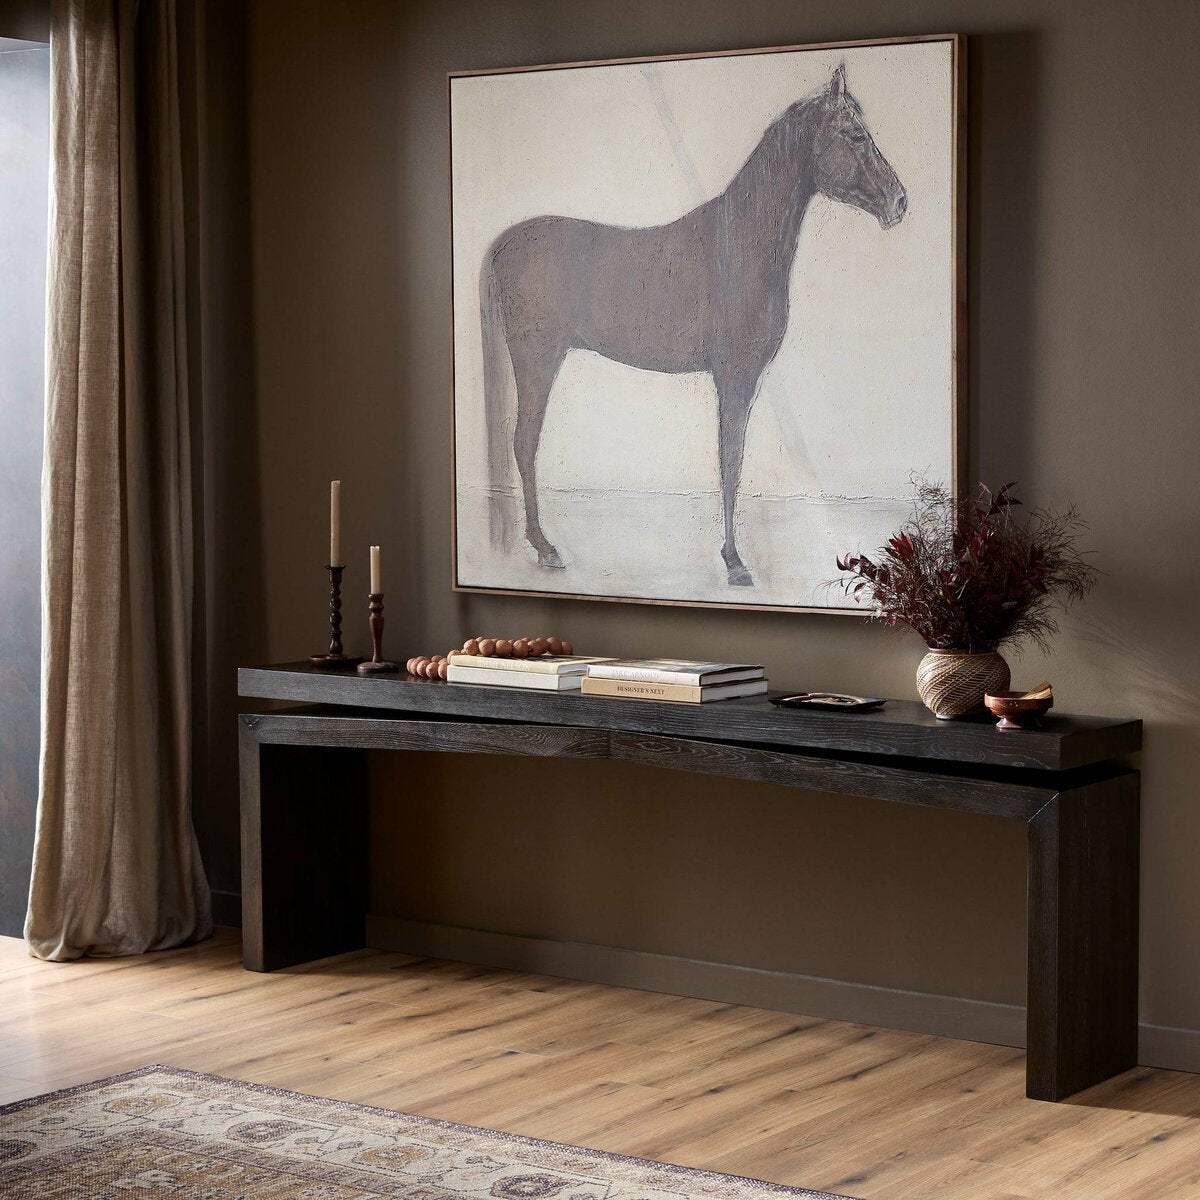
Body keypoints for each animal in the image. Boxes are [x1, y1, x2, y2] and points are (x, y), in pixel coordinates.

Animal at [482, 64, 902, 585]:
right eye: (855, 134)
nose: (899, 201)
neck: (736, 242)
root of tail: (504, 242)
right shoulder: (735, 377)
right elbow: (731, 461)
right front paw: (735, 563)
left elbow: (730, 460)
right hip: (536, 358)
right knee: (525, 443)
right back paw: (546, 548)